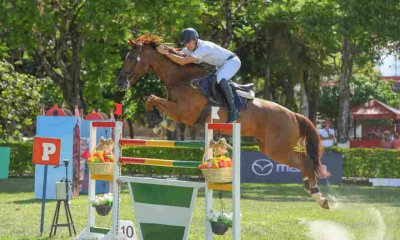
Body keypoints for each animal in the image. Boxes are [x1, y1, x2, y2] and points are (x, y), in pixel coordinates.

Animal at [115, 34, 332, 209]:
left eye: (131, 58)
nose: (120, 83)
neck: (182, 79)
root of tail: (294, 115)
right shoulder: (180, 112)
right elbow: (153, 100)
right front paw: (162, 123)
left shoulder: (184, 112)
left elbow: (151, 98)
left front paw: (157, 123)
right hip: (270, 148)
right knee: (305, 162)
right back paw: (311, 189)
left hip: (277, 149)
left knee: (306, 162)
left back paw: (319, 196)